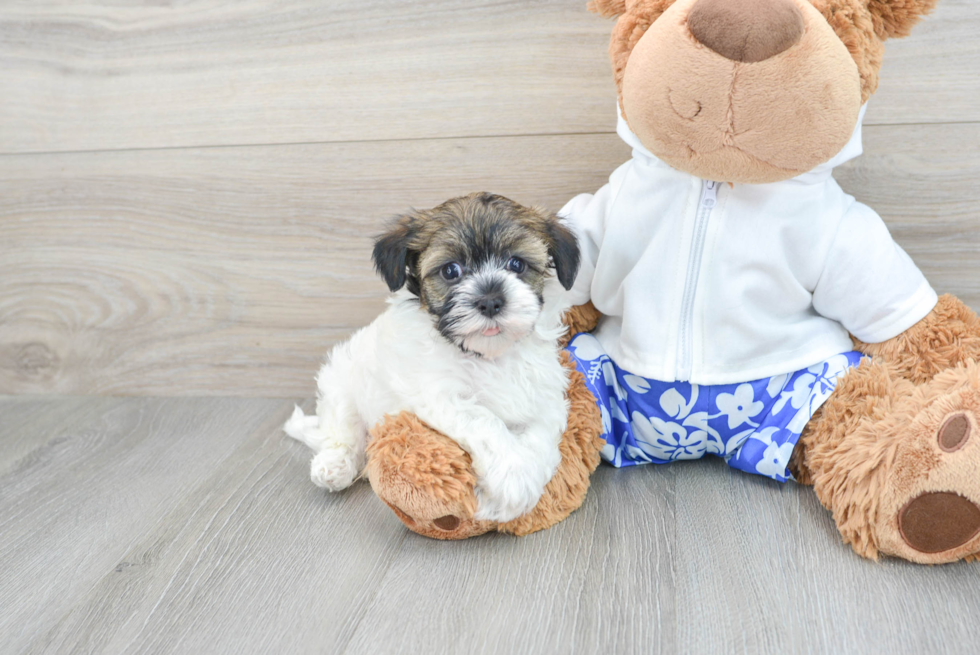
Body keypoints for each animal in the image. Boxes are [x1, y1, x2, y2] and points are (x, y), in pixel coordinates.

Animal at [280, 191, 580, 524]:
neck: (489, 356)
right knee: (344, 433)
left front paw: (513, 493)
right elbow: (485, 422)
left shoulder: (545, 398)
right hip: (342, 382)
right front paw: (513, 478)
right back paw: (335, 466)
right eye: (451, 270)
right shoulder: (442, 394)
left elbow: (543, 439)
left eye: (516, 264)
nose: (490, 301)